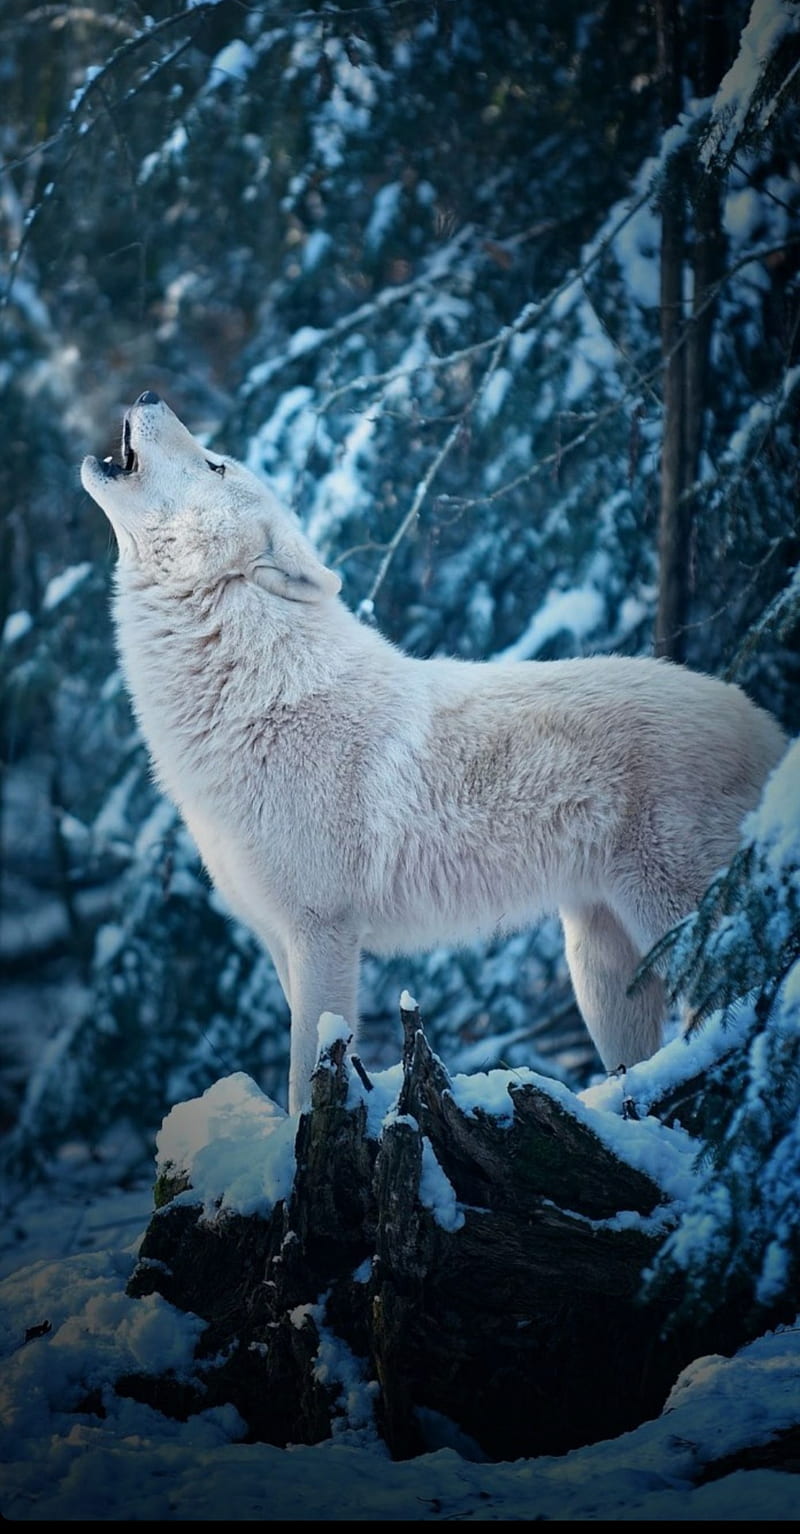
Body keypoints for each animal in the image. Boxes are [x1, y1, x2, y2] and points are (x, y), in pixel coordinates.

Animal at [82, 391, 786, 1113]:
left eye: (216, 464)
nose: (148, 395)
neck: (254, 689)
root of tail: (765, 723)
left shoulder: (324, 933)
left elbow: (307, 1074)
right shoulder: (278, 940)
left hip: (680, 931)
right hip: (601, 967)